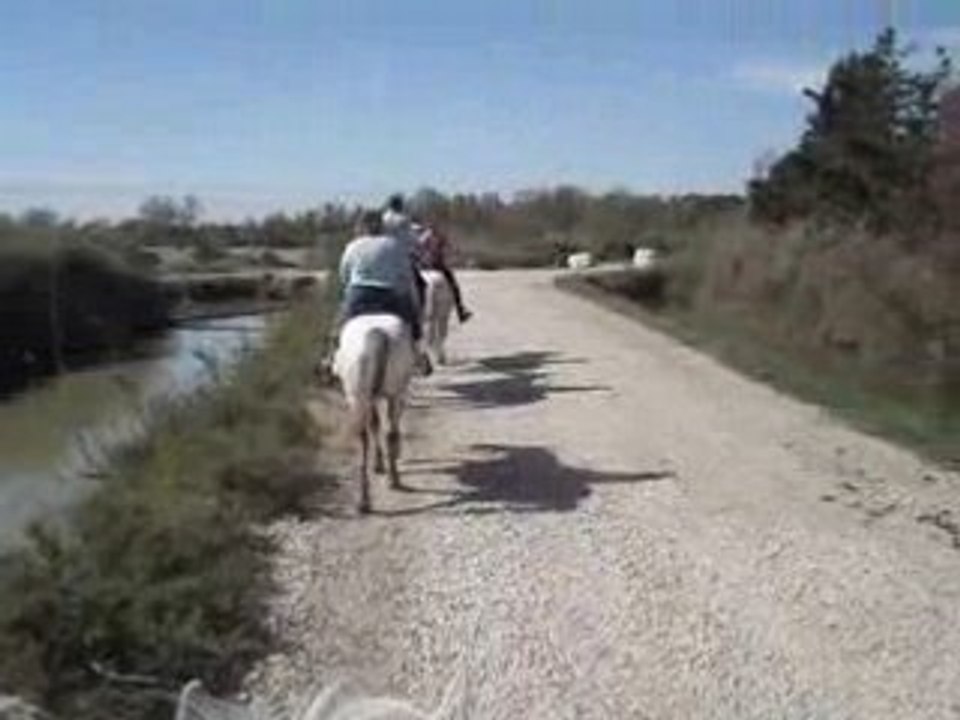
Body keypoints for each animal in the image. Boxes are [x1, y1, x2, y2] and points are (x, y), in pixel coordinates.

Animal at [333, 314, 416, 513]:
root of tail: (376, 334)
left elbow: (374, 423)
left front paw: (379, 463)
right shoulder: (398, 393)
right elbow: (382, 425)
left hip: (358, 396)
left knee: (363, 437)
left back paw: (364, 500)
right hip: (391, 392)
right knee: (388, 432)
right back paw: (393, 479)